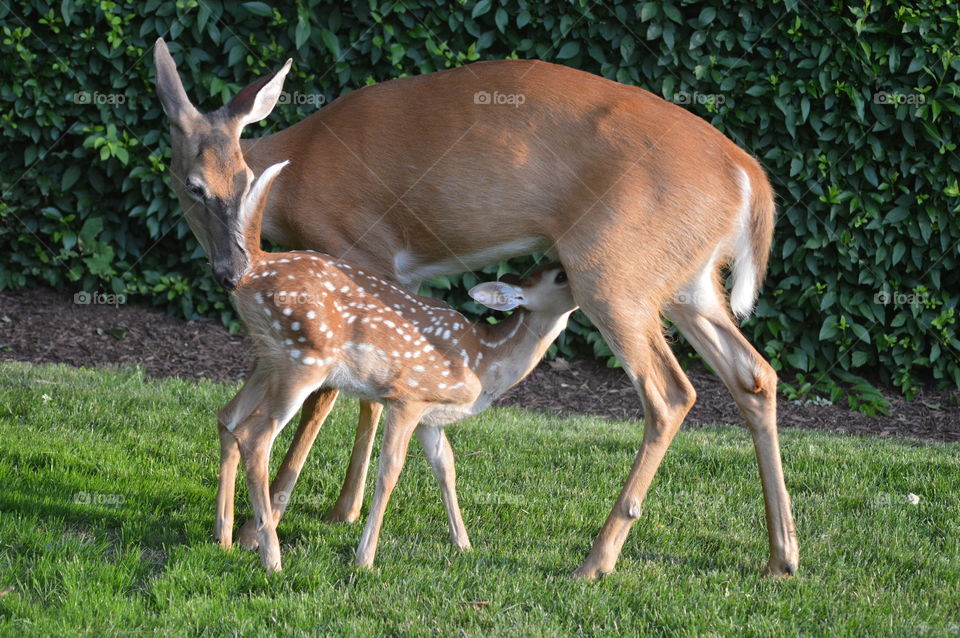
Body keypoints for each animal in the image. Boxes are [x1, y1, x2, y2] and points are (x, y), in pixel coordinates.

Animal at [154, 38, 800, 580]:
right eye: (192, 186)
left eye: (241, 180)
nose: (231, 270)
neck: (297, 175)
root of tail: (749, 177)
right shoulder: (389, 278)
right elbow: (373, 399)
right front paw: (341, 509)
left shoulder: (361, 248)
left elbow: (329, 398)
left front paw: (268, 522)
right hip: (689, 282)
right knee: (755, 374)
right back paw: (781, 557)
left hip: (614, 271)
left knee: (670, 393)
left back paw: (596, 560)